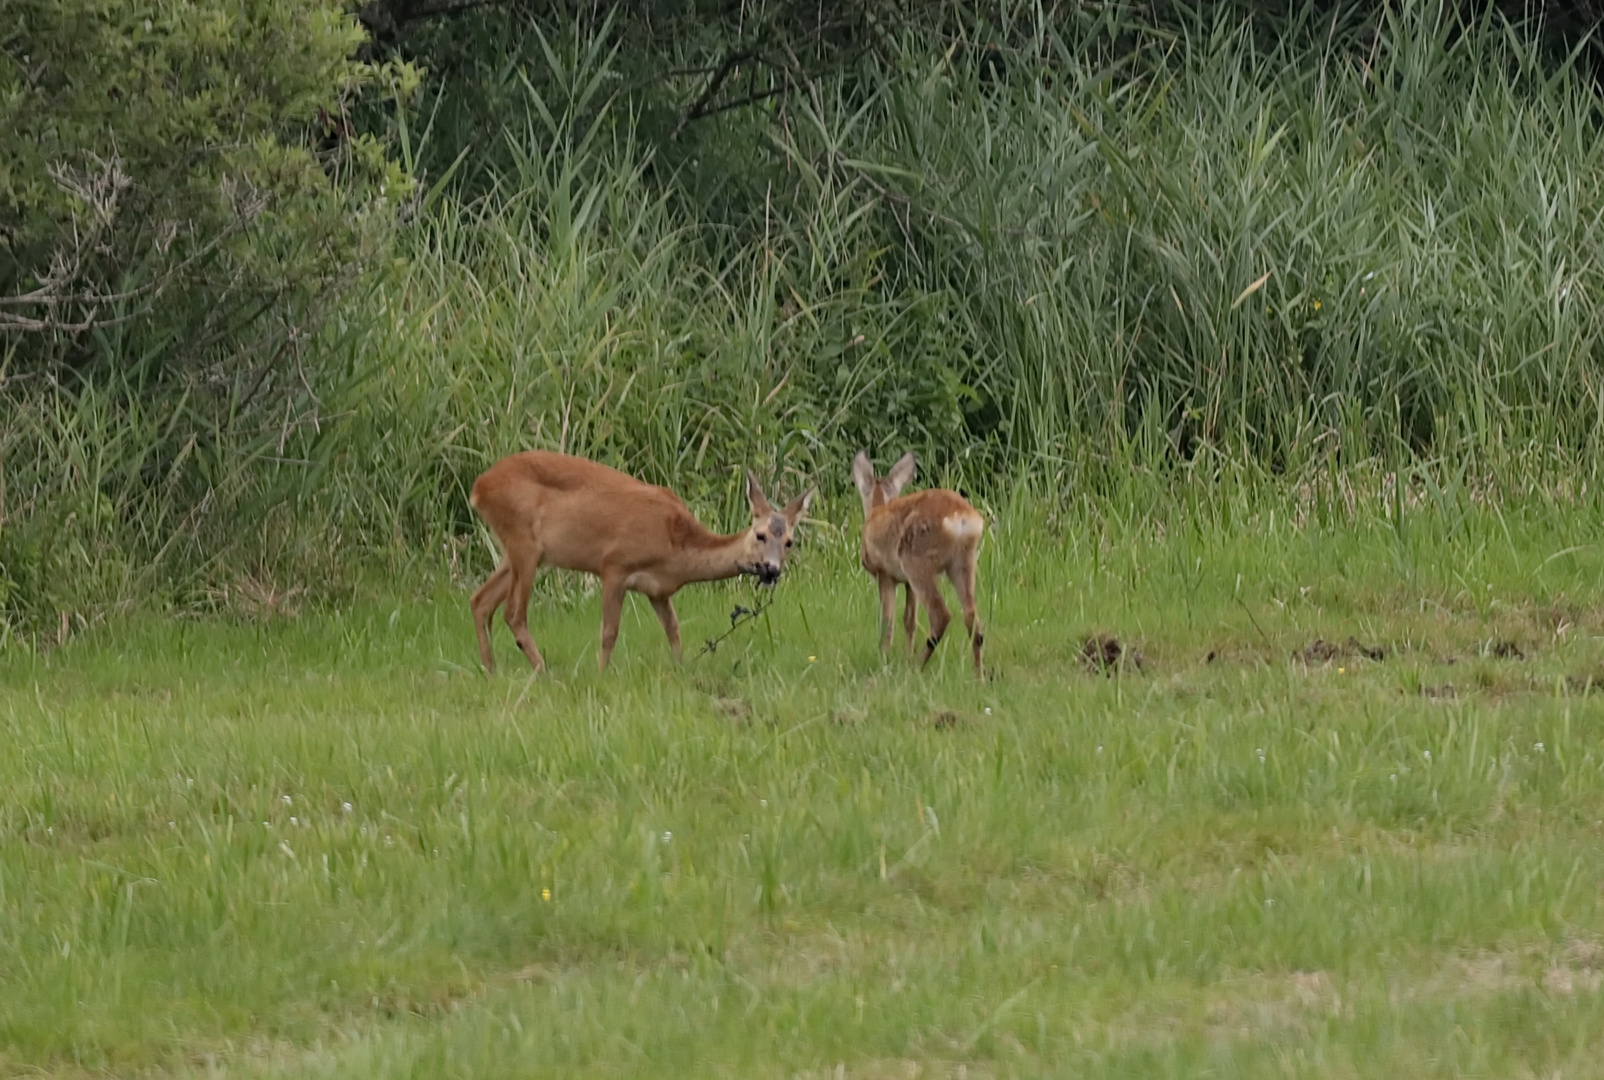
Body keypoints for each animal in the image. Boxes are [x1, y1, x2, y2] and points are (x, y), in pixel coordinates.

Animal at [468, 455, 808, 673]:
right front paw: (601, 675)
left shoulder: (658, 590)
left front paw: (681, 670)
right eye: (761, 535)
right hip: (523, 541)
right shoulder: (614, 565)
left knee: (480, 600)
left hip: (520, 552)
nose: (772, 569)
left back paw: (490, 670)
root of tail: (478, 488)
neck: (676, 548)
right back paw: (542, 671)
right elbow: (609, 631)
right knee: (513, 612)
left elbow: (673, 629)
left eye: (790, 542)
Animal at [859, 449, 981, 677]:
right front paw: (905, 657)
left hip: (917, 561)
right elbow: (909, 620)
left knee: (941, 614)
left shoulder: (884, 574)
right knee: (972, 618)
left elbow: (887, 622)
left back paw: (916, 668)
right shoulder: (906, 582)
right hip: (963, 562)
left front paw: (884, 659)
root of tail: (960, 517)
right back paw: (979, 676)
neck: (877, 509)